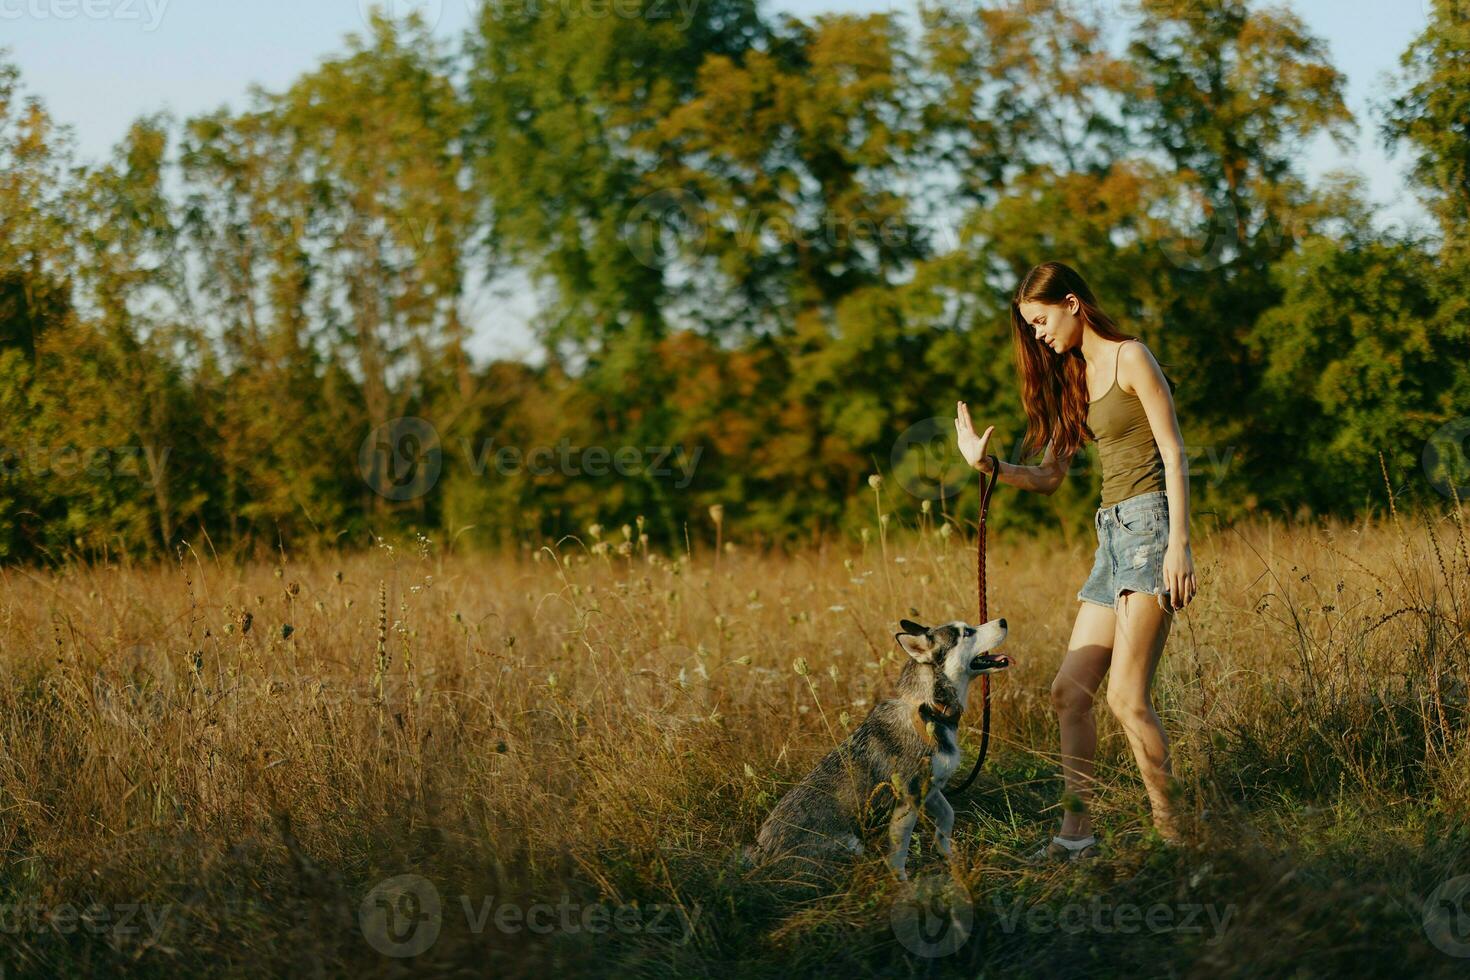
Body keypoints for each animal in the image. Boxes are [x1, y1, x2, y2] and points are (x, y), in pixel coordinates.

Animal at [752, 617, 1005, 887]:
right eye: (966, 633)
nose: (1003, 621)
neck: (928, 710)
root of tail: (760, 858)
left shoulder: (930, 789)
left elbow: (948, 815)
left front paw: (946, 852)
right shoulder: (908, 801)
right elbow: (900, 851)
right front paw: (903, 883)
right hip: (852, 844)